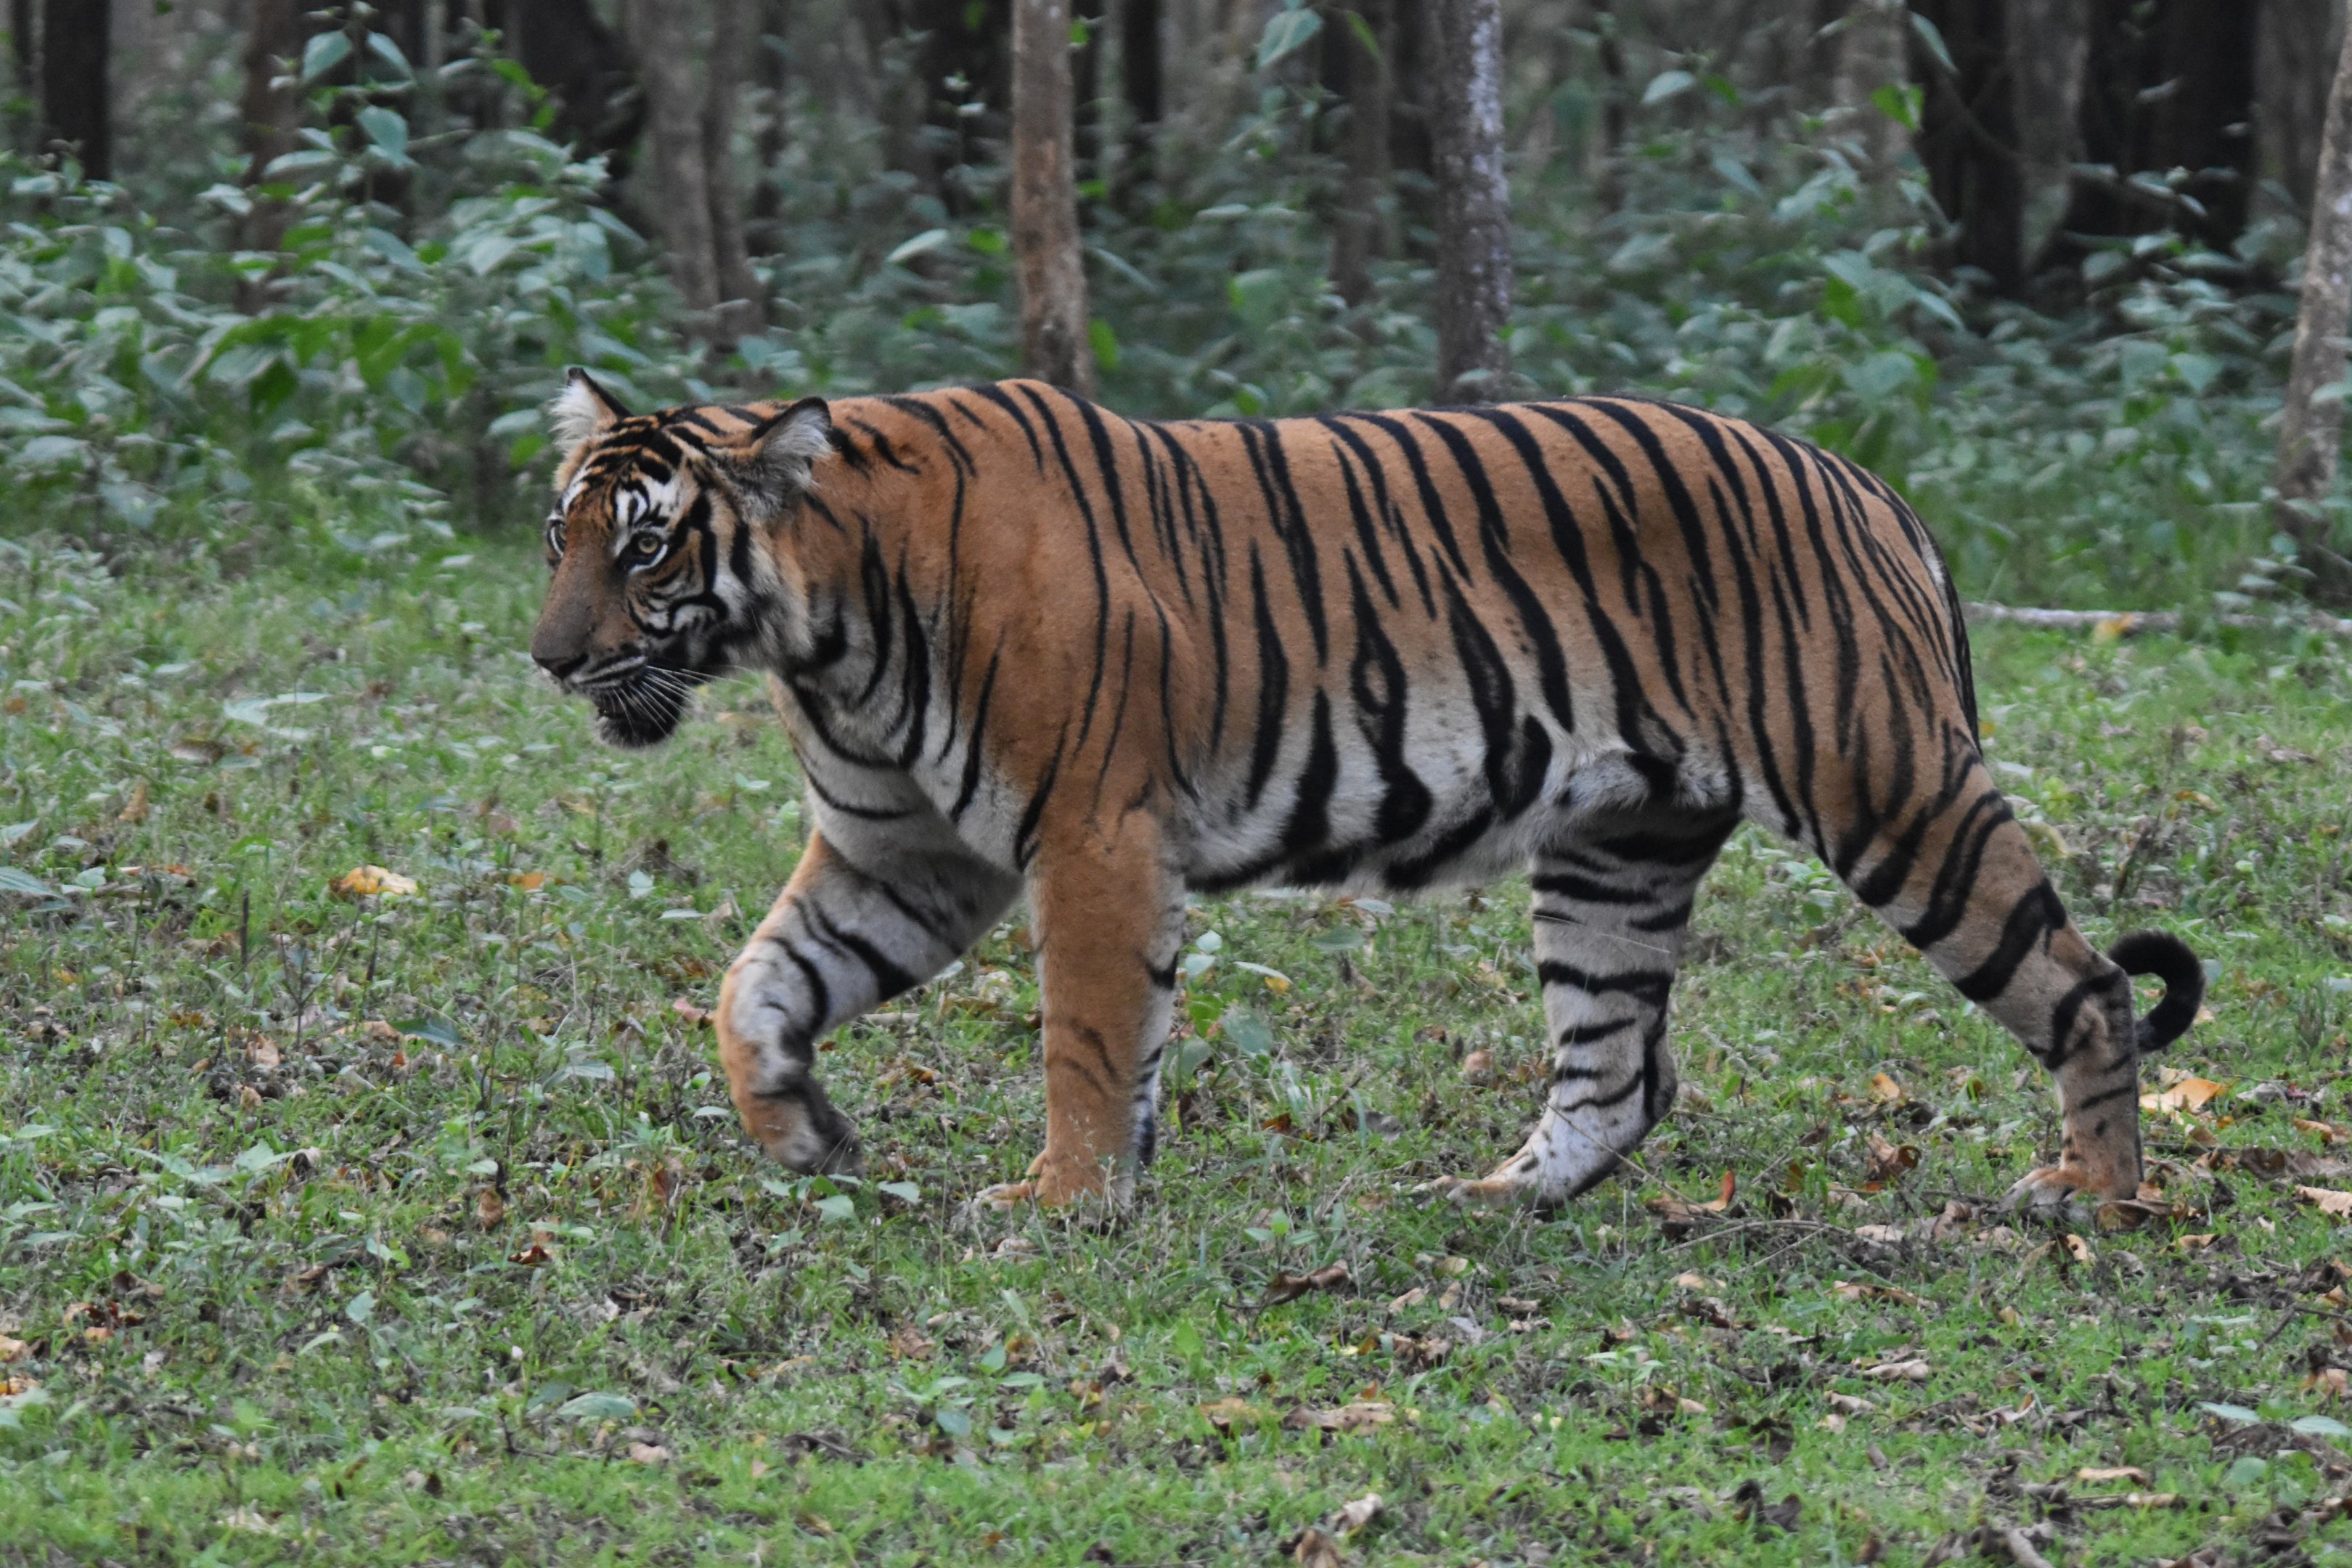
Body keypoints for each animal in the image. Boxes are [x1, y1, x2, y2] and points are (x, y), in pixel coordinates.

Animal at [528, 369, 2203, 1213]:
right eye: (562, 534)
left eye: (647, 547)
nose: (548, 660)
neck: (822, 630)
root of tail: (1871, 487)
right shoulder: (907, 854)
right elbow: (756, 986)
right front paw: (805, 1138)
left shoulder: (1087, 838)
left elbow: (1084, 1041)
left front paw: (1064, 1205)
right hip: (1618, 849)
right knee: (1619, 1071)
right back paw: (1494, 1199)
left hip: (1895, 794)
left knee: (2086, 989)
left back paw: (2097, 1201)